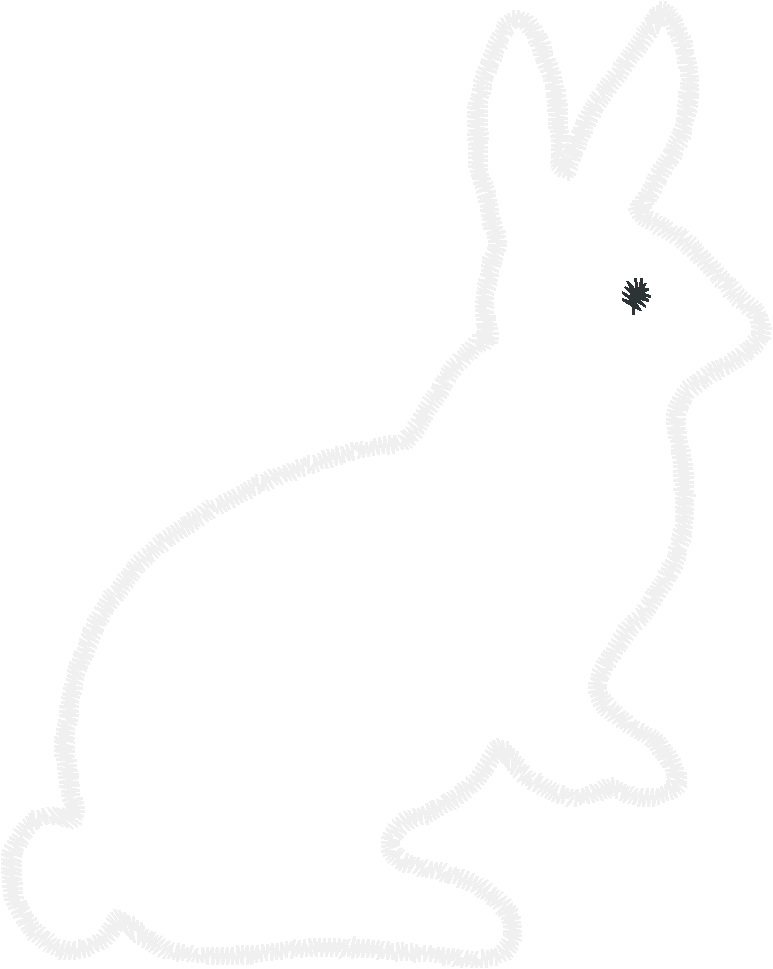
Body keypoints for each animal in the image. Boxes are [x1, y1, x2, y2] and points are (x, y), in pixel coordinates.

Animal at [3, 2, 768, 965]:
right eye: (633, 289)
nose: (743, 325)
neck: (564, 392)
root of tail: (105, 851)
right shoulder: (539, 662)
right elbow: (550, 724)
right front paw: (612, 772)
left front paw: (636, 763)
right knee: (259, 896)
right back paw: (457, 916)